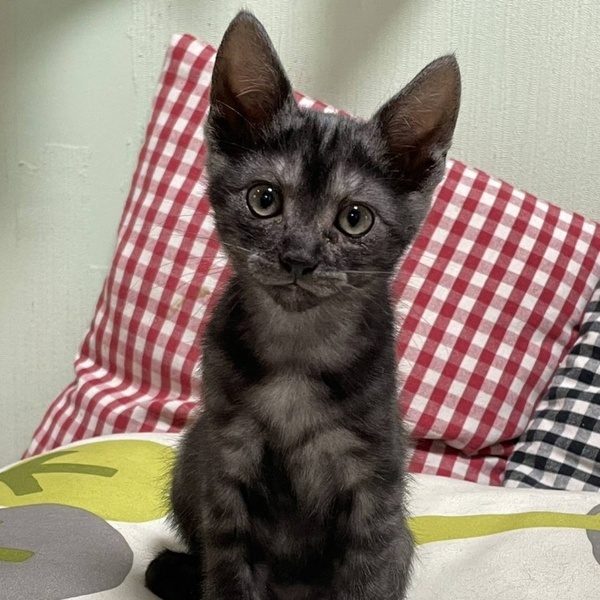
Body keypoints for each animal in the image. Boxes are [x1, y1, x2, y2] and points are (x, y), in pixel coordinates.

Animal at [145, 10, 460, 600]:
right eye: (264, 199)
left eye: (355, 218)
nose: (299, 257)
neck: (297, 350)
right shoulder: (227, 463)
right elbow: (227, 570)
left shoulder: (374, 487)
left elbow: (367, 578)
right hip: (192, 453)